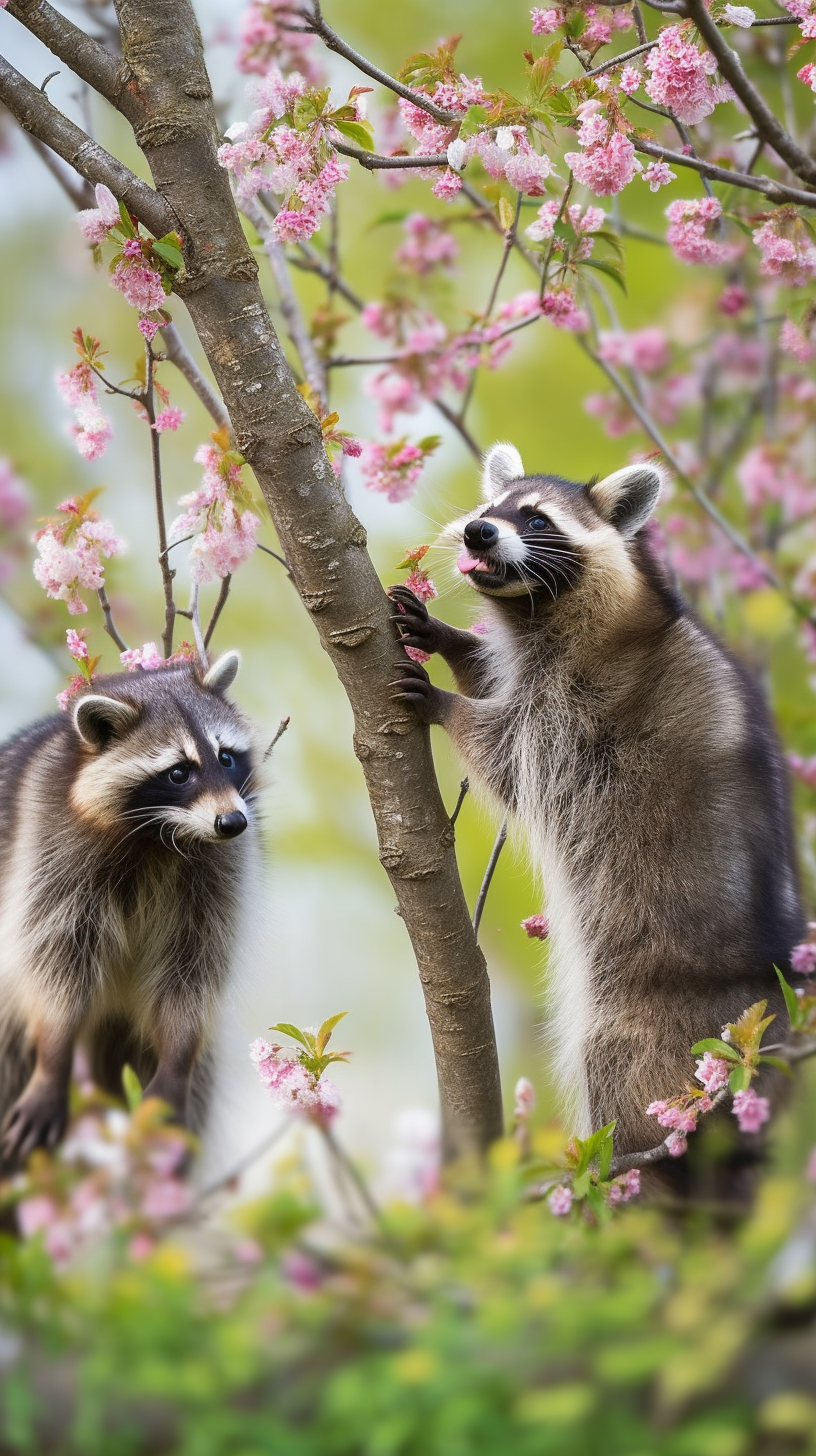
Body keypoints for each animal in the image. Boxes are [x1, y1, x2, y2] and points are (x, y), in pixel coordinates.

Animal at [0, 652, 259, 1170]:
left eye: (225, 757)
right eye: (178, 772)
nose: (233, 822)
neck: (161, 835)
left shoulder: (216, 878)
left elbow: (192, 969)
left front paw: (177, 1059)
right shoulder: (51, 849)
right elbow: (54, 959)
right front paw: (53, 1055)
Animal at [390, 442, 804, 1170]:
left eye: (535, 519)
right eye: (489, 507)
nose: (476, 531)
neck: (539, 611)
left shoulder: (582, 710)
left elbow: (507, 753)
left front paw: (447, 703)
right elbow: (492, 675)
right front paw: (450, 639)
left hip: (669, 1038)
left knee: (618, 1066)